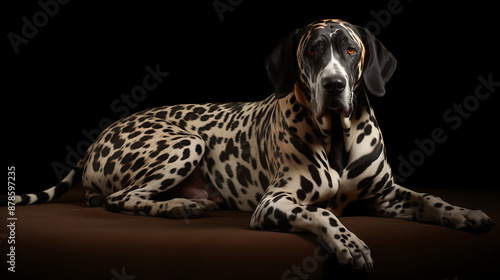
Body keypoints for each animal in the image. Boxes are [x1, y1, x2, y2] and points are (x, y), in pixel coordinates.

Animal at [5, 18, 494, 270]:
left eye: (350, 50)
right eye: (313, 50)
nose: (334, 85)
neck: (337, 136)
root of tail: (99, 137)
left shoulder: (385, 195)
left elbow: (430, 199)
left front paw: (465, 213)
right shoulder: (275, 203)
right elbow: (322, 213)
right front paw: (349, 243)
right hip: (186, 142)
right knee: (120, 199)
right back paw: (180, 206)